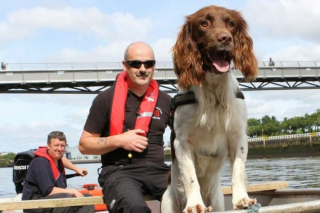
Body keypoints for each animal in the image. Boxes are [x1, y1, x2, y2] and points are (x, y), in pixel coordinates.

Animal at [162, 5, 258, 213]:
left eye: (231, 23)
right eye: (204, 23)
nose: (225, 38)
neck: (214, 93)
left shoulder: (238, 136)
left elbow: (238, 170)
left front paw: (242, 199)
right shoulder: (182, 142)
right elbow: (190, 177)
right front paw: (194, 204)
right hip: (167, 201)